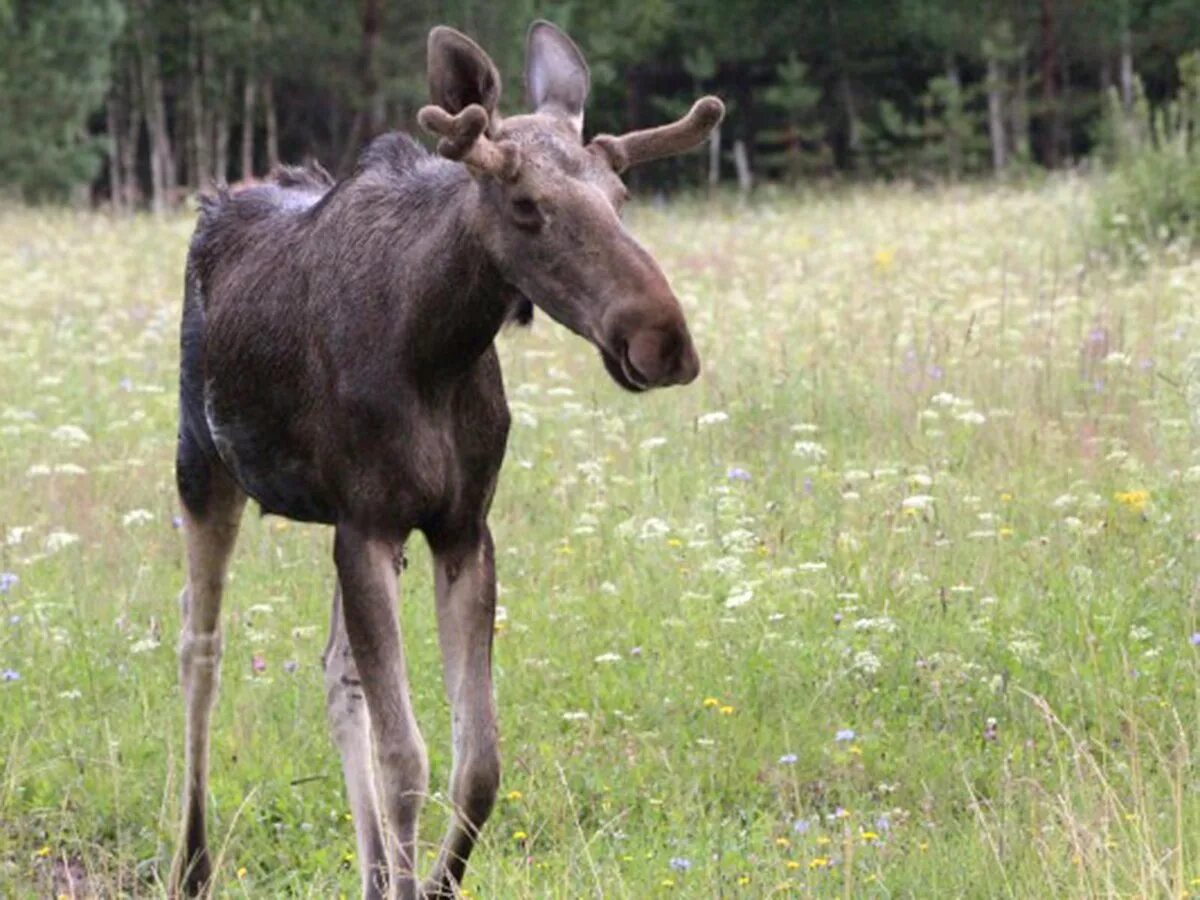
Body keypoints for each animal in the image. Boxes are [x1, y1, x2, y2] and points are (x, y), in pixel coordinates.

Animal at [171, 17, 720, 897]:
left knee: (335, 673)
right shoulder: (366, 525)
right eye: (527, 205)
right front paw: (408, 878)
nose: (663, 339)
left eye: (622, 199)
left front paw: (425, 881)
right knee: (201, 649)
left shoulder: (459, 528)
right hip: (202, 464)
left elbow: (477, 763)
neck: (434, 345)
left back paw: (370, 874)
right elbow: (407, 760)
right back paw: (191, 865)